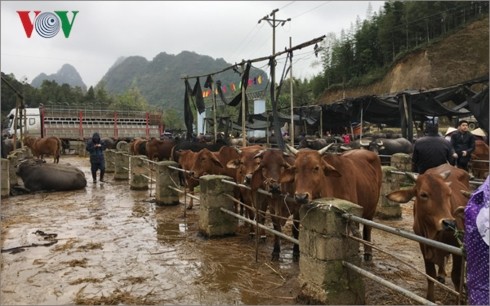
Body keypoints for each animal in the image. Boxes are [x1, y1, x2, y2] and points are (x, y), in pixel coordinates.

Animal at [386, 164, 470, 302]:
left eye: (449, 193)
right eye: (423, 194)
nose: (449, 223)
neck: (434, 233)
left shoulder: (458, 246)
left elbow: (456, 277)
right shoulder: (423, 244)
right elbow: (430, 274)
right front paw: (430, 298)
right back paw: (441, 274)